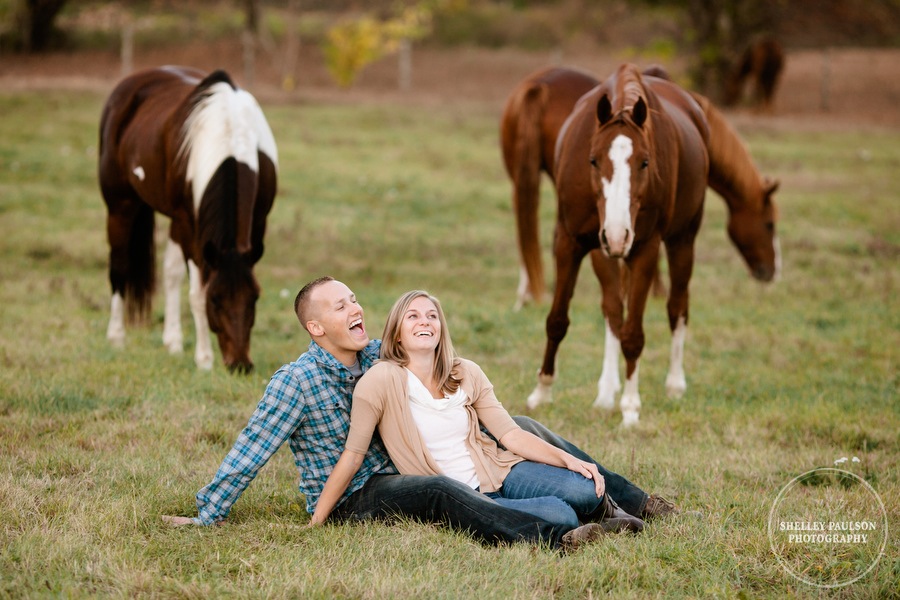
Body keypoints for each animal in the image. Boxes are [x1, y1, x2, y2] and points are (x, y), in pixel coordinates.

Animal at [98, 68, 278, 372]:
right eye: (215, 300)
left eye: (254, 297)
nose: (240, 365)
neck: (230, 132)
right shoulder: (190, 227)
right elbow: (196, 293)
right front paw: (204, 359)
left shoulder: (258, 224)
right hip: (121, 207)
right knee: (120, 266)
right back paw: (116, 336)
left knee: (170, 273)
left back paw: (172, 342)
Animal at [500, 65, 780, 310]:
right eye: (769, 224)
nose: (772, 272)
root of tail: (538, 87)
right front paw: (653, 291)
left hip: (522, 179)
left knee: (526, 229)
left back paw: (525, 296)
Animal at [528, 64, 712, 426]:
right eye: (593, 160)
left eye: (645, 162)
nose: (616, 234)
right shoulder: (569, 241)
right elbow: (557, 320)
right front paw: (541, 391)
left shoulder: (645, 250)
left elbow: (634, 335)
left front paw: (630, 407)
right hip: (605, 253)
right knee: (613, 310)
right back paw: (605, 394)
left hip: (682, 240)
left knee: (677, 308)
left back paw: (673, 385)